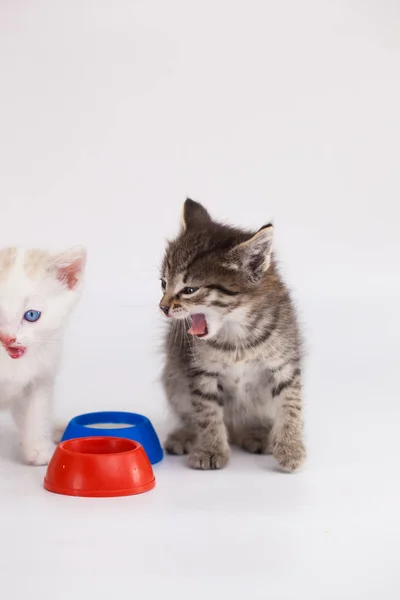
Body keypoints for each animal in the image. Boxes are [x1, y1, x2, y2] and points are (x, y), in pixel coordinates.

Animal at [161, 199, 304, 472]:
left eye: (190, 290)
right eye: (163, 283)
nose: (163, 307)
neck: (237, 334)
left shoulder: (285, 364)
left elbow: (291, 405)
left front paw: (291, 448)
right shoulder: (201, 372)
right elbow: (207, 412)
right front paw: (211, 449)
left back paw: (256, 434)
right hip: (174, 377)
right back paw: (185, 435)